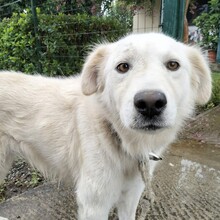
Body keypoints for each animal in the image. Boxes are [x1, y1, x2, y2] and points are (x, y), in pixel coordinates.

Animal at [0, 33, 211, 220]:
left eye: (173, 65)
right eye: (123, 67)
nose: (150, 104)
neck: (116, 135)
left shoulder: (131, 197)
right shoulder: (94, 205)